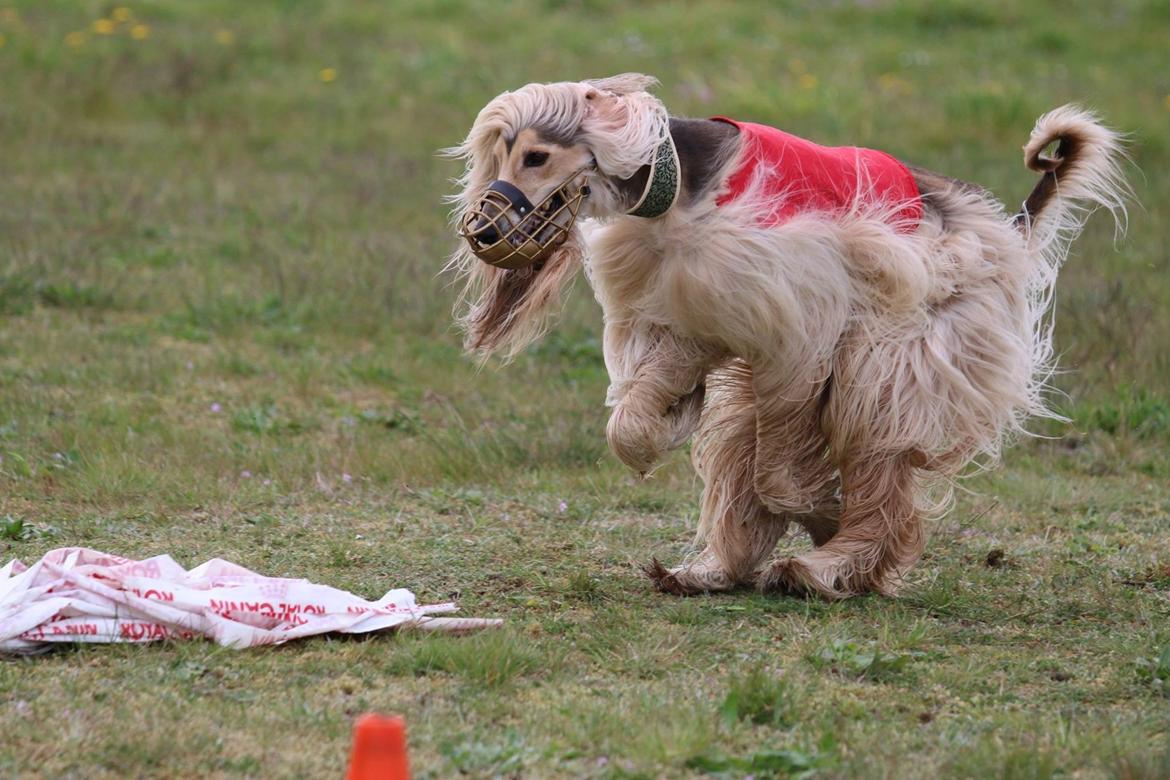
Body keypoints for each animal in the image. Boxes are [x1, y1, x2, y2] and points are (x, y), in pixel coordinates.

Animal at [442, 74, 1127, 598]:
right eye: (502, 156)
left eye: (535, 157)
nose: (485, 230)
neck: (679, 188)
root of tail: (1000, 233)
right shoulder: (701, 303)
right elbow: (636, 422)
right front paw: (662, 424)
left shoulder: (796, 317)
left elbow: (778, 469)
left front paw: (824, 515)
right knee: (747, 448)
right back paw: (714, 571)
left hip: (908, 344)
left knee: (871, 441)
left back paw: (830, 565)